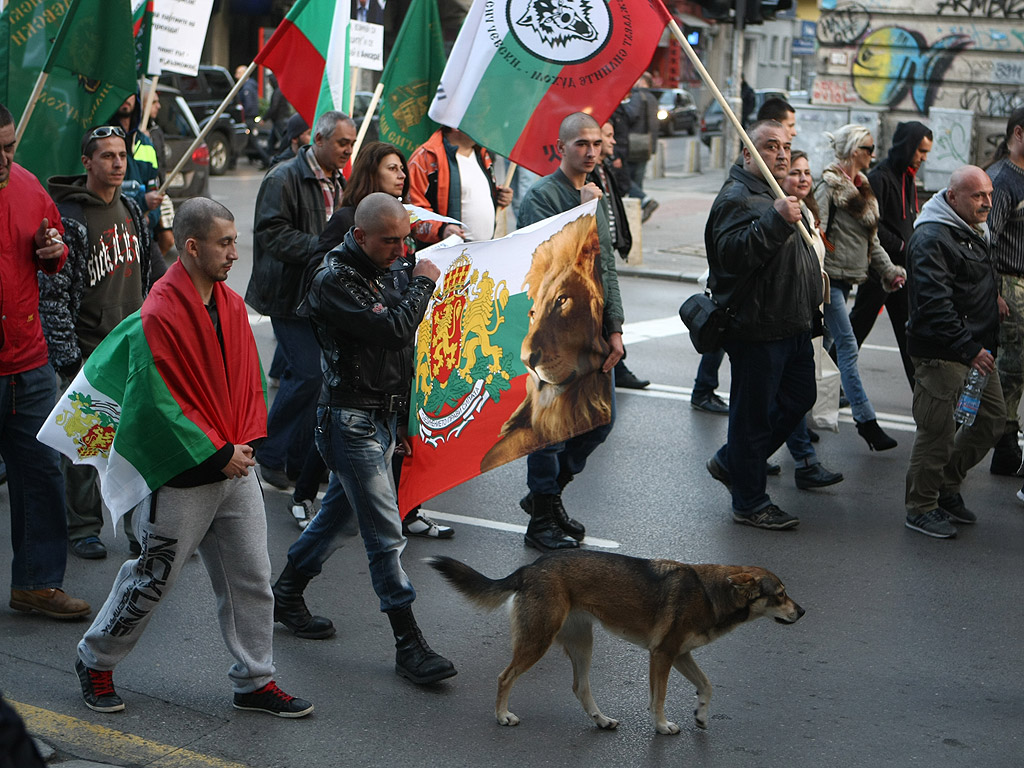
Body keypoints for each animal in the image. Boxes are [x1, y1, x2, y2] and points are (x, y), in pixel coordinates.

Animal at [428, 548, 802, 737]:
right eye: (781, 595)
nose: (802, 612)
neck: (711, 593)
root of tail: (530, 567)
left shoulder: (680, 655)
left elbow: (707, 685)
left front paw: (700, 715)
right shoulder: (662, 655)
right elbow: (659, 698)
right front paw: (661, 725)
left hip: (582, 643)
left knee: (580, 687)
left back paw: (601, 720)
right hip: (538, 640)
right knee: (505, 677)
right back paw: (502, 715)